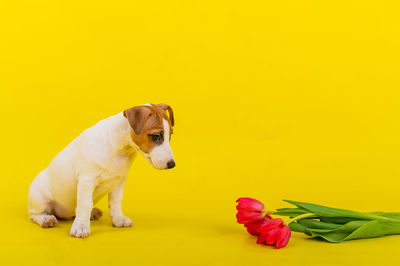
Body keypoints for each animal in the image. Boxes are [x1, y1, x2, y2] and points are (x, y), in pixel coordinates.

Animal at [28, 103, 176, 237]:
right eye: (156, 136)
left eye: (170, 136)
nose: (172, 164)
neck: (120, 149)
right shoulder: (87, 180)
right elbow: (85, 204)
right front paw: (81, 227)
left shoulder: (119, 181)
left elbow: (116, 201)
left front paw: (118, 219)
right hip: (39, 199)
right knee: (34, 215)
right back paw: (46, 219)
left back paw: (92, 213)